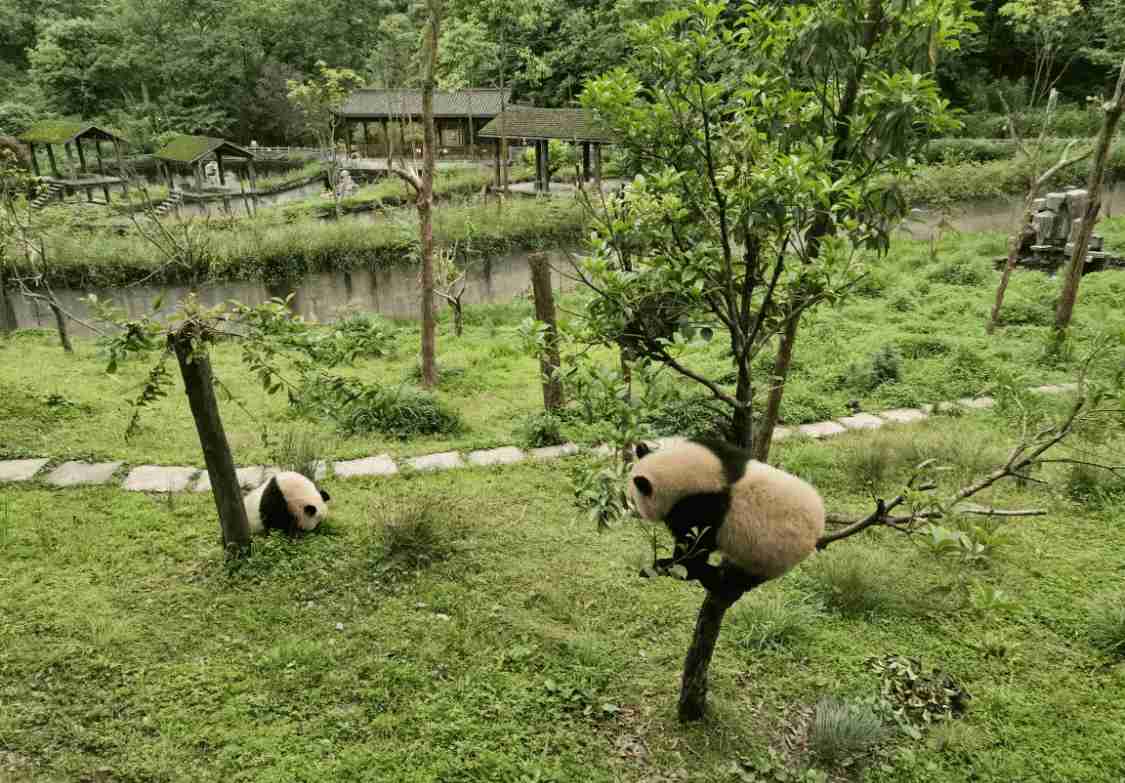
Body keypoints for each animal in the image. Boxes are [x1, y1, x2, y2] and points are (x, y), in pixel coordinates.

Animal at [630, 436, 823, 598]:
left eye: (633, 499)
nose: (633, 513)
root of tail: (815, 536)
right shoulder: (722, 453)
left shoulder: (698, 510)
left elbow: (692, 550)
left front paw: (661, 565)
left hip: (769, 557)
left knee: (731, 579)